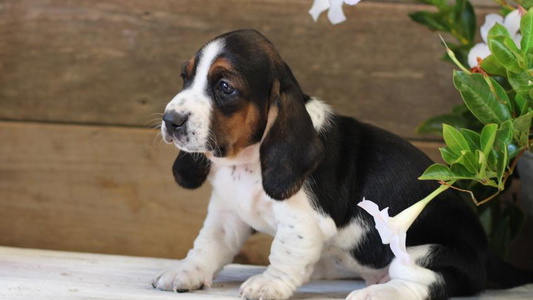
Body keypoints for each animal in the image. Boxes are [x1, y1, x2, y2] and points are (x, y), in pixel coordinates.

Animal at [152, 29, 528, 298]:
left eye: (225, 87)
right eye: (185, 77)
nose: (171, 120)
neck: (245, 159)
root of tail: (488, 254)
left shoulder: (303, 221)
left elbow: (284, 252)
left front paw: (268, 284)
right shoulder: (226, 214)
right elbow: (207, 246)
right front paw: (185, 272)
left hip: (427, 251)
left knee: (422, 283)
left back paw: (376, 294)